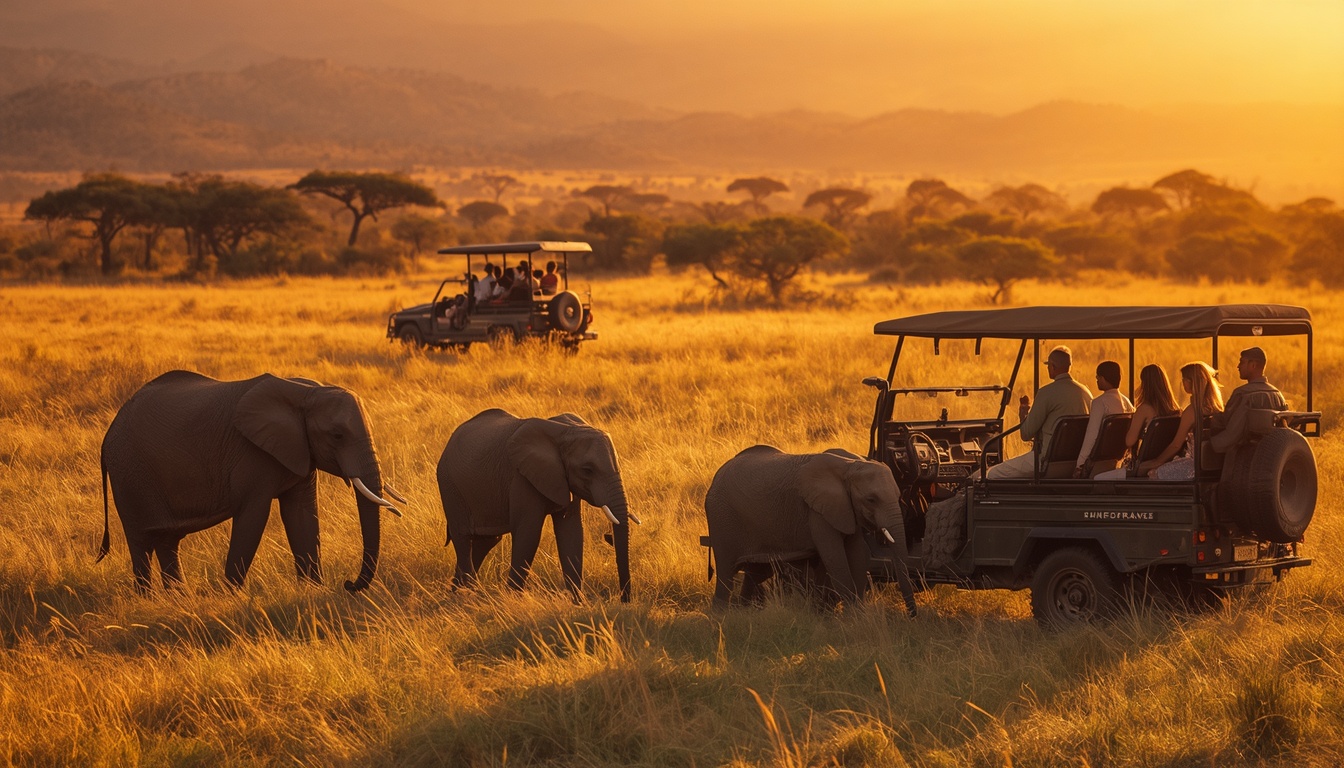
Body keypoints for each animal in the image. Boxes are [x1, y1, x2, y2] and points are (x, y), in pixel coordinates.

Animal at [98, 370, 404, 593]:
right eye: (337, 435)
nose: (348, 584)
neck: (305, 391)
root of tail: (108, 435)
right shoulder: (252, 454)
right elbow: (253, 517)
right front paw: (229, 597)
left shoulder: (299, 451)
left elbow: (302, 515)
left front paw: (312, 591)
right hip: (130, 475)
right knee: (140, 542)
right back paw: (149, 600)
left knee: (167, 540)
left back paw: (178, 598)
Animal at [436, 409, 637, 603]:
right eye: (587, 470)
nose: (624, 600)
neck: (565, 432)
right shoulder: (522, 477)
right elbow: (529, 534)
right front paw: (512, 600)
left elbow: (571, 533)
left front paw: (578, 604)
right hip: (449, 485)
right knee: (463, 538)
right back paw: (466, 595)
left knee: (486, 541)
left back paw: (458, 592)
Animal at [704, 445, 917, 615]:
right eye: (871, 499)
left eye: (899, 495)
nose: (912, 616)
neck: (850, 465)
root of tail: (717, 475)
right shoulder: (818, 510)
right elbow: (835, 557)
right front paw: (852, 617)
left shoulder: (846, 509)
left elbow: (856, 554)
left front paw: (858, 613)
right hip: (721, 517)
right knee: (726, 572)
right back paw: (721, 616)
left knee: (755, 572)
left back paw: (745, 612)